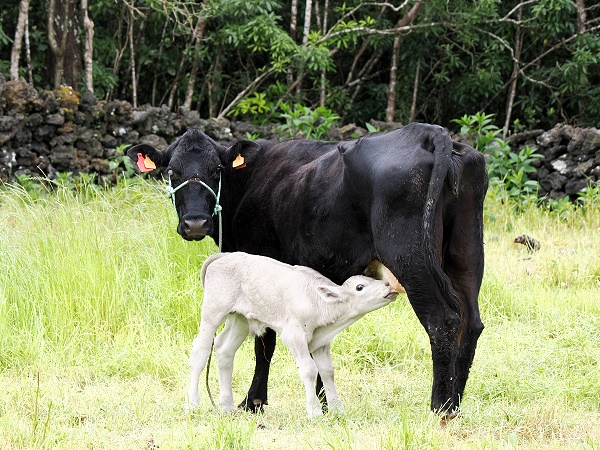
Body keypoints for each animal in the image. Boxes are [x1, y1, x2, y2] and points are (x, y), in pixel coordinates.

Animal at [127, 122, 488, 419]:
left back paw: (441, 406)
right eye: (171, 170)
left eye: (216, 169)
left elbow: (265, 342)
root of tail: (427, 133)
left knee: (442, 320)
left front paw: (254, 402)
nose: (195, 223)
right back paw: (456, 402)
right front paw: (324, 403)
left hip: (410, 257)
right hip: (467, 256)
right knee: (470, 322)